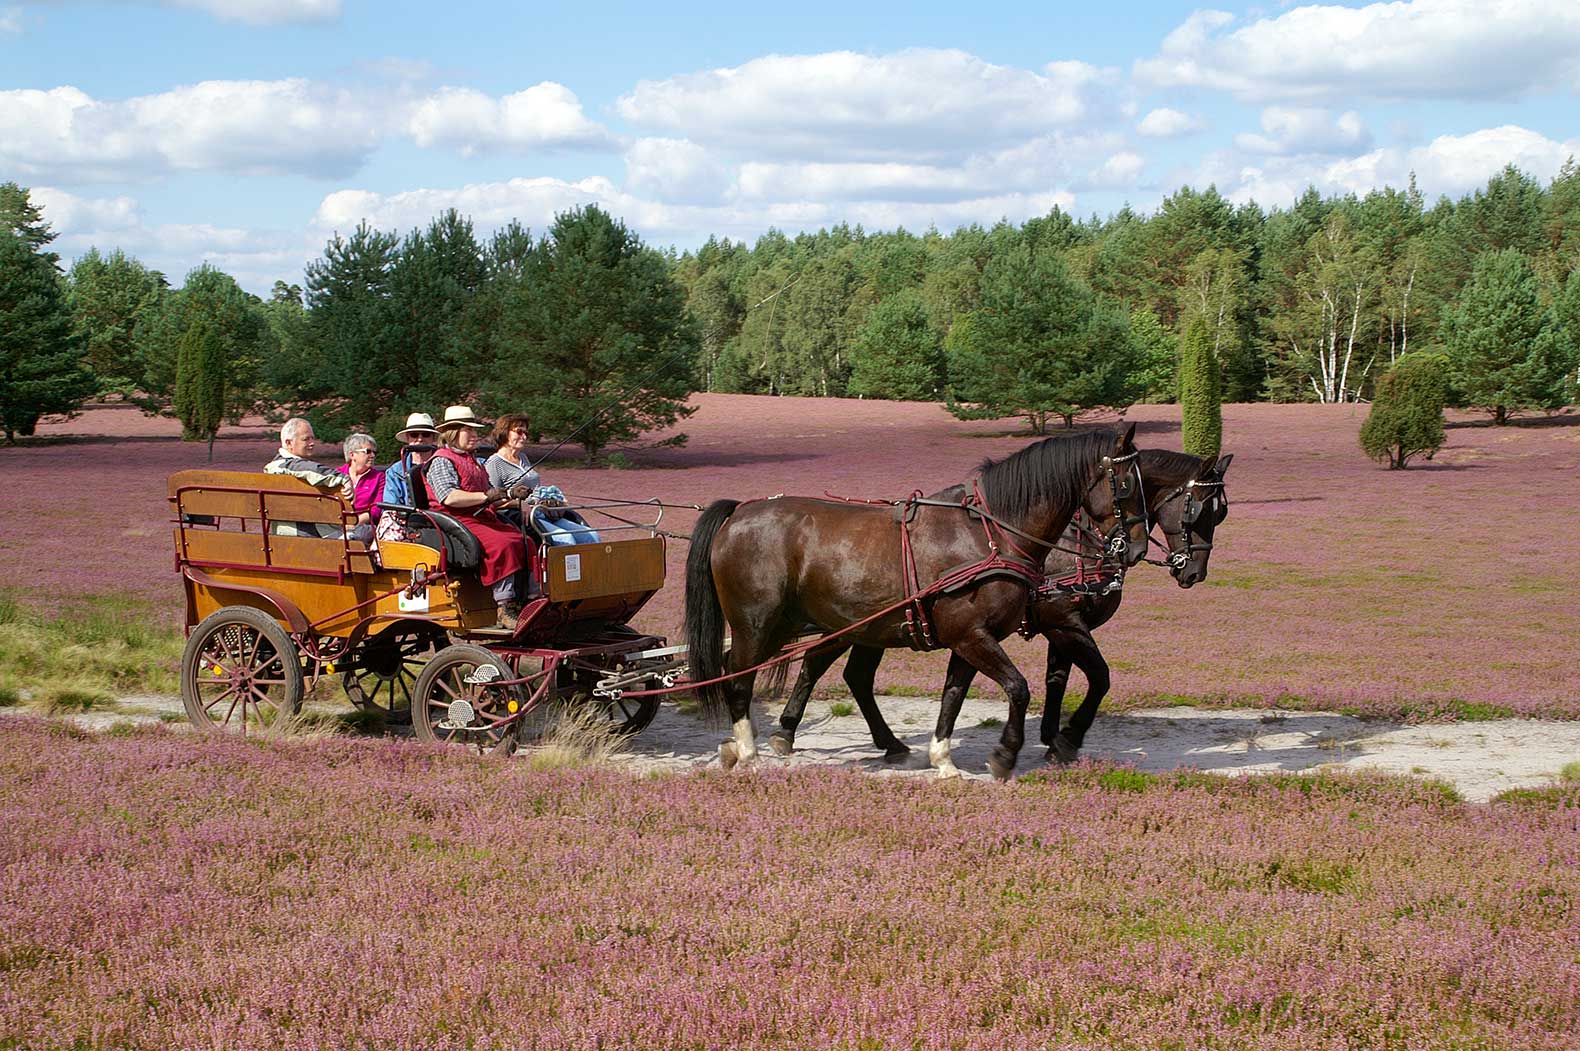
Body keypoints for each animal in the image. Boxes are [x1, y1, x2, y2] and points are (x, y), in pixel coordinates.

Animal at [679, 426, 1150, 777]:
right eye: (1127, 484)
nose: (1134, 549)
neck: (990, 534)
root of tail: (739, 512)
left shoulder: (969, 638)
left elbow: (954, 696)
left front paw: (943, 758)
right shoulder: (980, 635)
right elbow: (1020, 688)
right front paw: (1006, 754)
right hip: (760, 625)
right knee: (738, 676)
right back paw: (748, 750)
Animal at [764, 445, 1232, 768]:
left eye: (1220, 512)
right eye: (1198, 509)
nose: (1194, 571)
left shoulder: (1059, 624)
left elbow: (1057, 679)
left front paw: (1052, 735)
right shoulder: (1063, 619)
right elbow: (1098, 677)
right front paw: (1067, 737)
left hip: (872, 627)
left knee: (853, 676)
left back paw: (879, 741)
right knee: (819, 666)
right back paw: (788, 729)